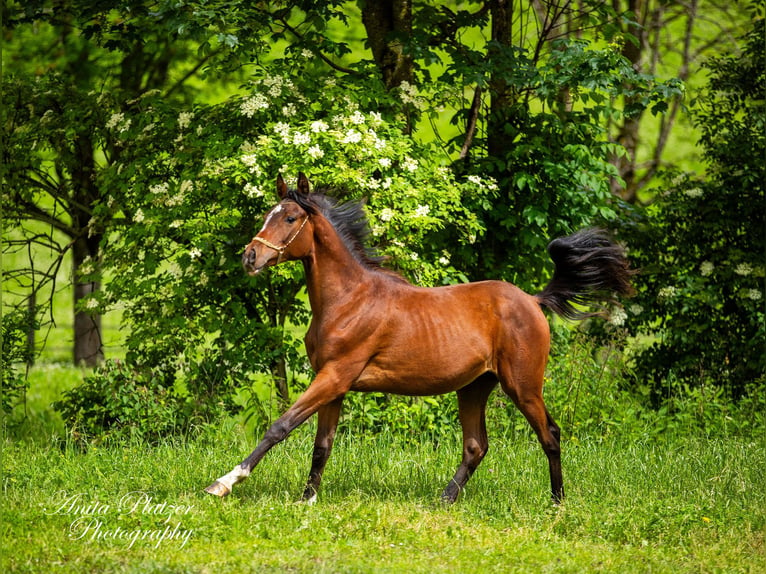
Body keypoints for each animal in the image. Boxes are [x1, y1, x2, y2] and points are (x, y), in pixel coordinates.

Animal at [207, 172, 632, 504]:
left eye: (291, 217)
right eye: (267, 215)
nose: (250, 257)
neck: (348, 300)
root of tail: (532, 300)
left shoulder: (335, 376)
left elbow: (280, 427)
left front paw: (224, 483)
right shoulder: (334, 383)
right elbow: (321, 445)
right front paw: (306, 500)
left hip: (523, 385)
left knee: (550, 434)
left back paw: (557, 503)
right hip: (475, 386)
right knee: (476, 445)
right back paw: (444, 499)